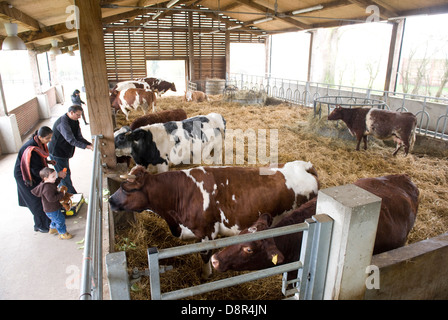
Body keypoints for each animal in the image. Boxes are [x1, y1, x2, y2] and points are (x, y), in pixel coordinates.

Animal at [107, 161, 318, 276]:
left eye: (126, 188)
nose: (109, 200)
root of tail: (305, 166)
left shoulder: (207, 232)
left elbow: (205, 255)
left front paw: (206, 274)